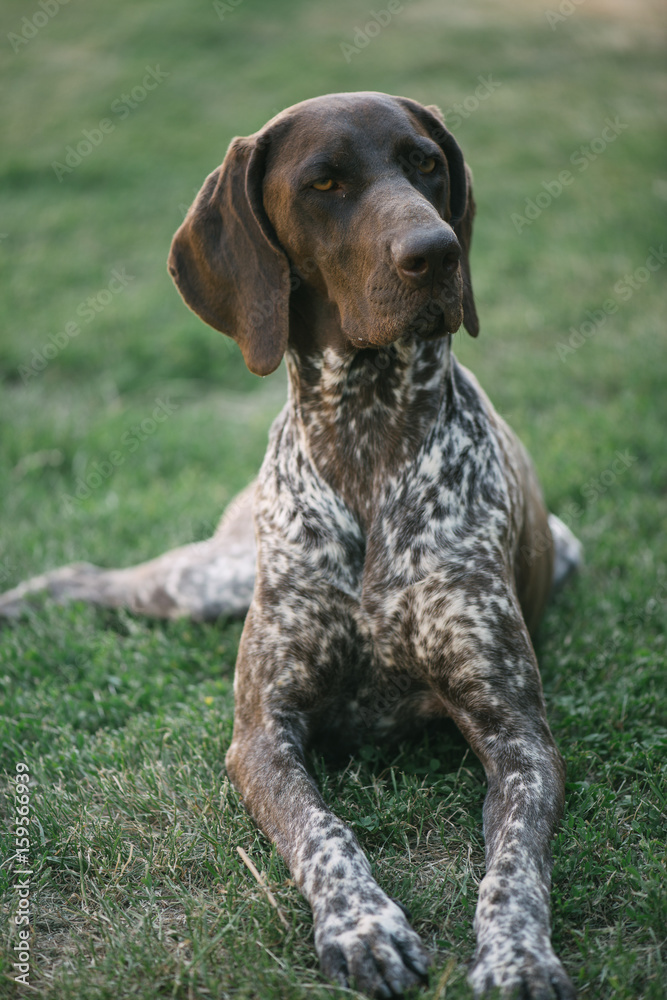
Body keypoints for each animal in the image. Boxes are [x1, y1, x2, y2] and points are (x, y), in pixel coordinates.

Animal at [2, 92, 580, 992]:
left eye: (426, 164)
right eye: (324, 183)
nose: (437, 252)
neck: (366, 431)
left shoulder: (518, 736)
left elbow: (514, 861)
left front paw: (517, 954)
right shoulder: (262, 736)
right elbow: (323, 834)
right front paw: (363, 925)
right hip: (205, 580)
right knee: (88, 572)